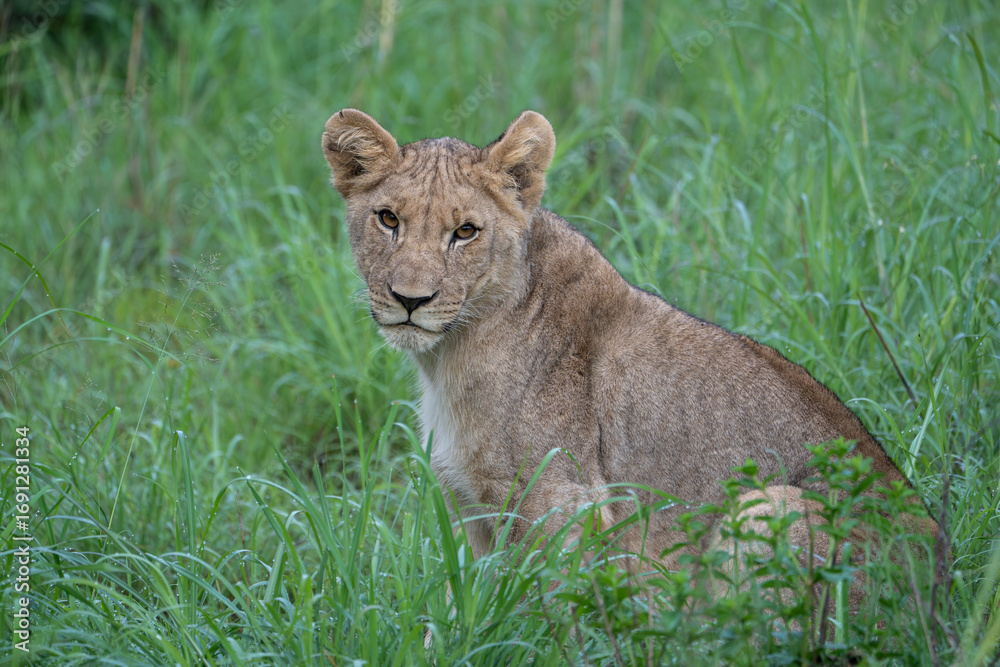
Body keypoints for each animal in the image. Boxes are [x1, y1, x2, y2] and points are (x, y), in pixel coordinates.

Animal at [321, 108, 940, 607]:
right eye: (388, 219)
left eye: (466, 231)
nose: (410, 300)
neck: (449, 354)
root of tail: (940, 594)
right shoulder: (472, 508)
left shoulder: (562, 501)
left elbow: (546, 616)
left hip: (767, 507)